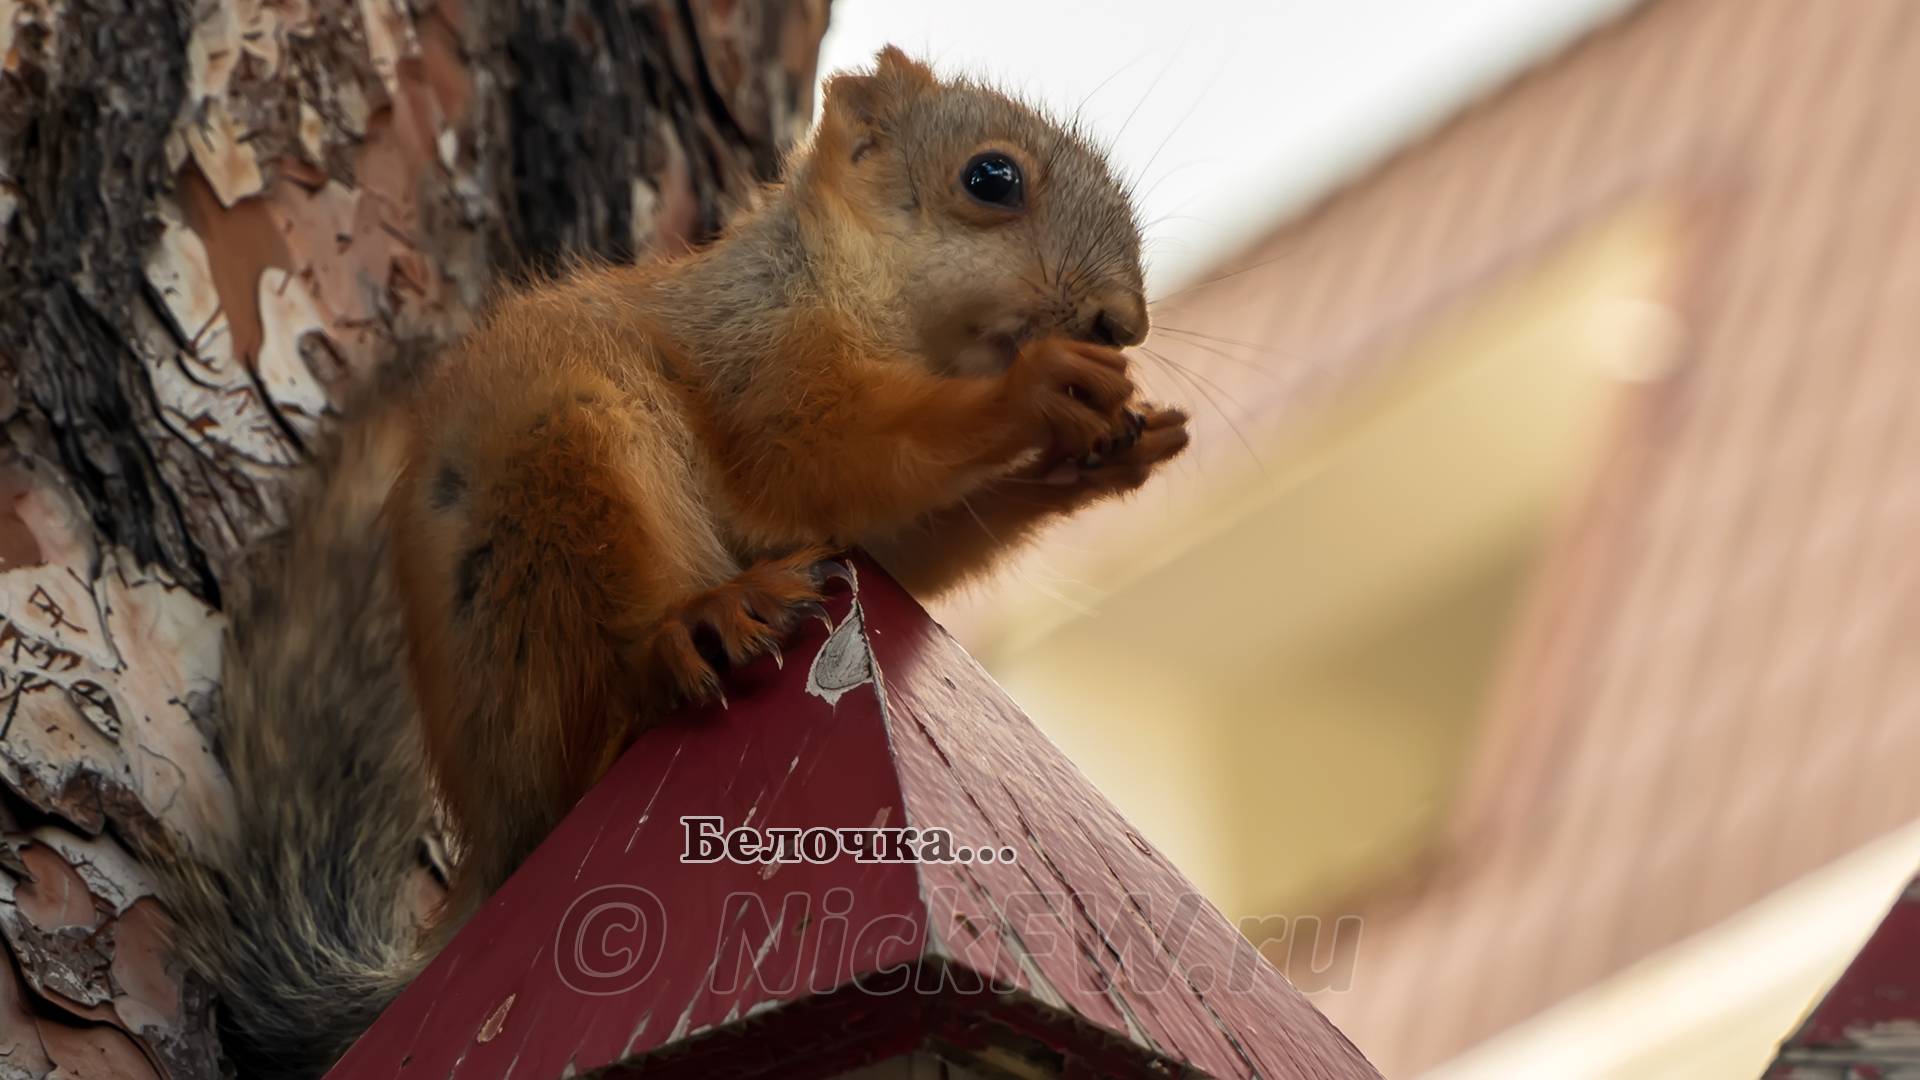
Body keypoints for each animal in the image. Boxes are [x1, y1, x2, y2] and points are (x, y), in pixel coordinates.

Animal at [157, 50, 1182, 1076]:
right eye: (991, 178)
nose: (1122, 323)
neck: (877, 301)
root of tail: (504, 838)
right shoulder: (761, 356)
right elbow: (837, 449)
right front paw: (1040, 386)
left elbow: (911, 532)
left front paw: (1112, 451)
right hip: (563, 475)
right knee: (617, 676)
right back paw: (693, 625)